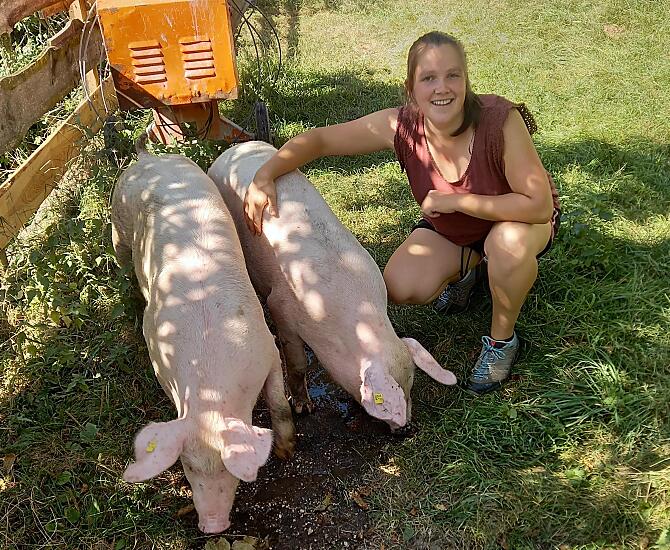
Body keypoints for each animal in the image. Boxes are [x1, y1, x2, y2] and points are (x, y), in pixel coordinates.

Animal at [111, 149, 295, 533]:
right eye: (188, 468)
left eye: (228, 468)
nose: (213, 525)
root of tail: (146, 156)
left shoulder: (266, 348)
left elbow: (278, 400)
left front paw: (287, 451)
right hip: (117, 228)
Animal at [208, 141, 457, 431]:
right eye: (385, 404)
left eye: (411, 385)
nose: (405, 429)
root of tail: (235, 148)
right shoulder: (282, 307)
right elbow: (297, 363)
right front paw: (304, 408)